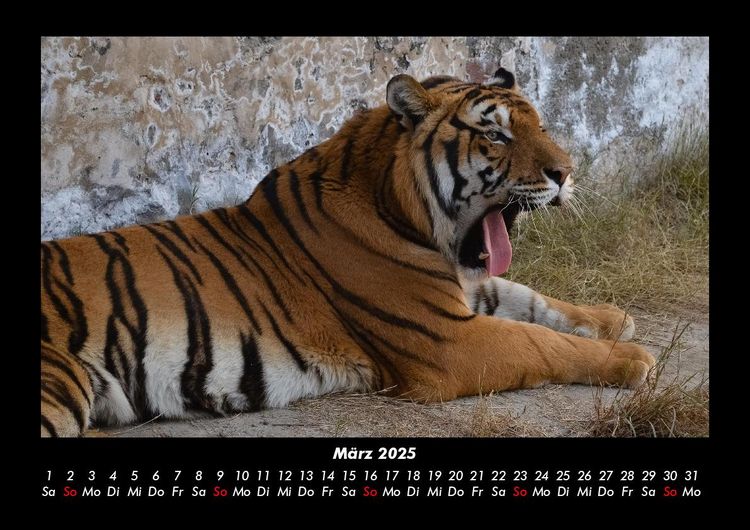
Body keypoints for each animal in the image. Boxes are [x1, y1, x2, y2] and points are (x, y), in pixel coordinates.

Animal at [41, 67, 655, 437]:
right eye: (497, 136)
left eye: (541, 126)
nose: (565, 173)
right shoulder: (448, 341)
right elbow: (540, 341)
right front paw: (632, 358)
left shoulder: (464, 291)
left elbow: (529, 298)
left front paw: (612, 318)